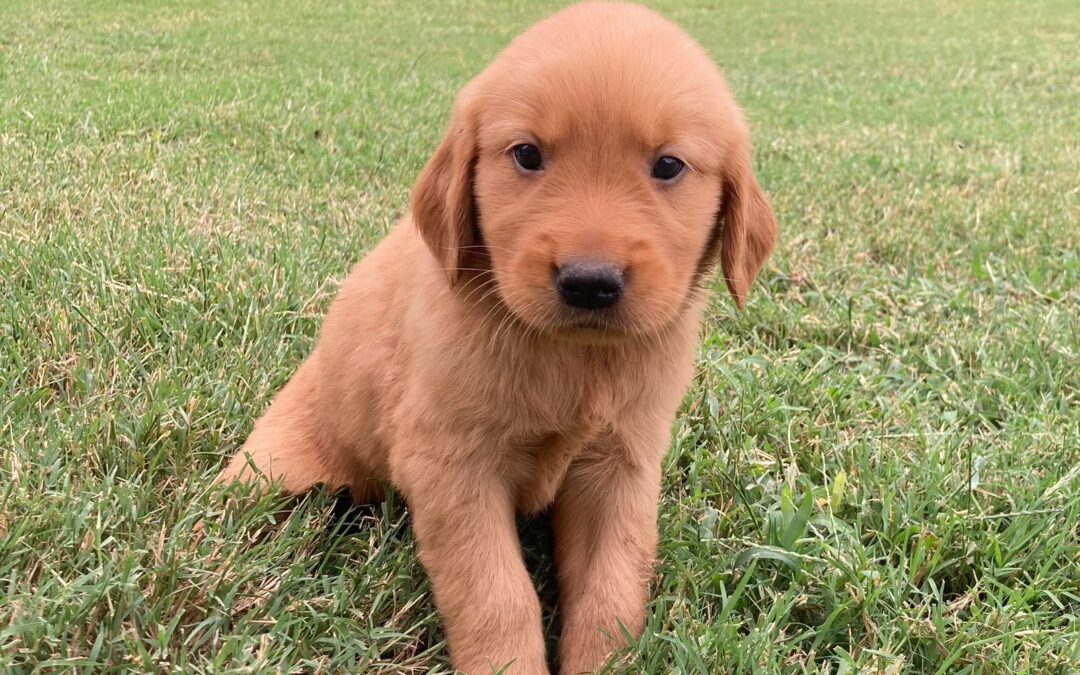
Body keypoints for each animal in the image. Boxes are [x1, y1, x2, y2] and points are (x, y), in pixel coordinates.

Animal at [219, 2, 777, 669]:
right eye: (527, 155)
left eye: (668, 165)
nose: (590, 283)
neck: (572, 358)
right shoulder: (451, 465)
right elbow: (496, 593)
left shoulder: (622, 467)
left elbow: (611, 595)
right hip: (274, 474)